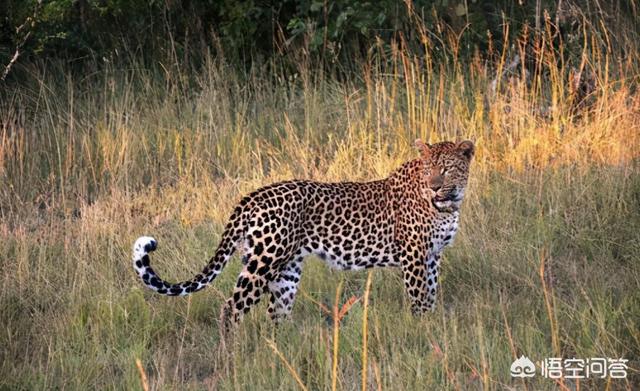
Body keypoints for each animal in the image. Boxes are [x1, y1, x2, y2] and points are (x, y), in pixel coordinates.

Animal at [132, 139, 472, 330]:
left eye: (447, 168)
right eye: (429, 169)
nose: (435, 186)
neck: (449, 204)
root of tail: (252, 197)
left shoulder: (433, 256)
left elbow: (431, 294)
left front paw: (431, 325)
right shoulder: (414, 255)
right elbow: (419, 298)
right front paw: (421, 329)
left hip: (286, 271)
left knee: (276, 314)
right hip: (264, 262)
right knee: (231, 308)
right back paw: (233, 358)